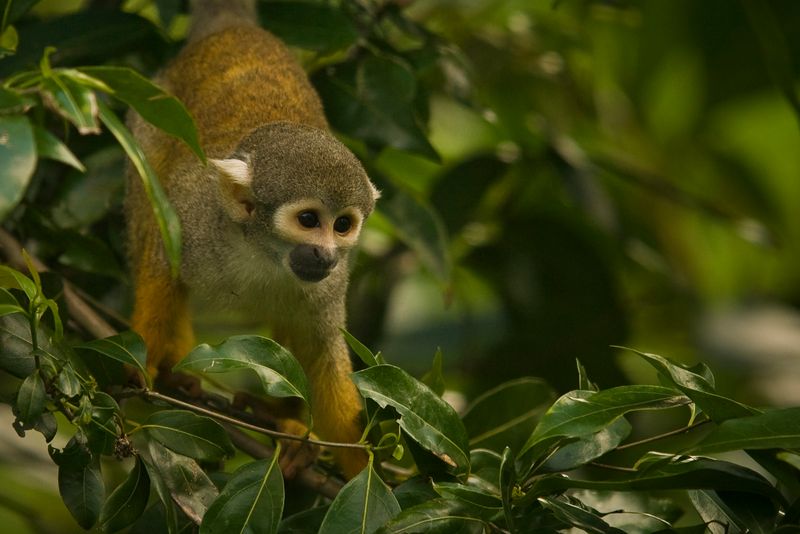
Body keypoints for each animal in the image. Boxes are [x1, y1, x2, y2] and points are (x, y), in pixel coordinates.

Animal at [124, 0, 378, 479]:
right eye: (309, 219)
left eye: (342, 225)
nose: (326, 254)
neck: (263, 253)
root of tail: (234, 26)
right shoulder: (196, 218)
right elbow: (162, 258)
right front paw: (142, 362)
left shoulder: (331, 284)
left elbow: (322, 352)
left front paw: (366, 471)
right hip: (148, 112)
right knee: (148, 197)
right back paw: (175, 362)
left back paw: (282, 419)